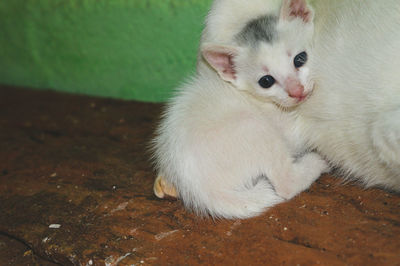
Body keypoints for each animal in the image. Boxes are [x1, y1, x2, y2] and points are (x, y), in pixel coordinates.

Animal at [152, 0, 330, 218]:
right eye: (266, 81)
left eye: (300, 59)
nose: (296, 92)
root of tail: (202, 191)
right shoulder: (289, 130)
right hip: (256, 128)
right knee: (285, 183)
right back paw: (317, 163)